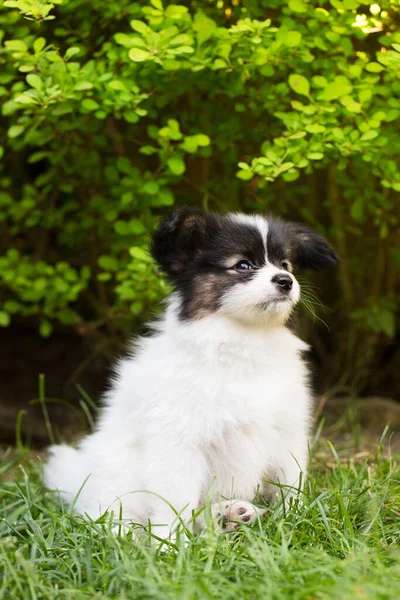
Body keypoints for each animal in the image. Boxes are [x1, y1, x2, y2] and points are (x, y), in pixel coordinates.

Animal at [45, 209, 340, 536]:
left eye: (286, 265)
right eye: (243, 265)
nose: (286, 281)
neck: (244, 340)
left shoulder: (286, 431)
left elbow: (290, 481)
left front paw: (296, 518)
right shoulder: (179, 442)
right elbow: (175, 503)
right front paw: (169, 544)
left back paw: (229, 515)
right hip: (118, 478)